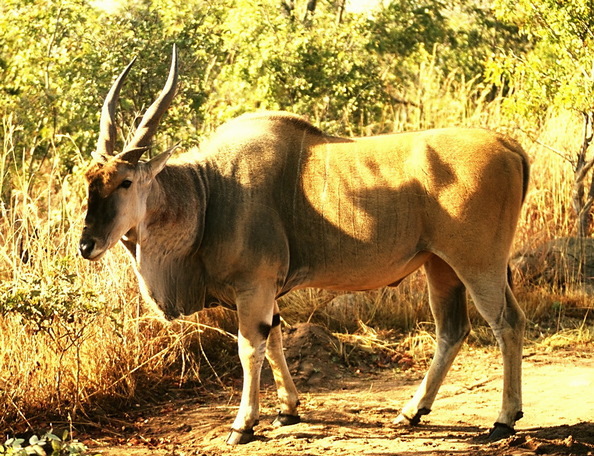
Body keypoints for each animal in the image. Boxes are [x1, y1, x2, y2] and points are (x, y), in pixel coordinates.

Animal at [78, 48, 528, 444]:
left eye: (125, 182)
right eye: (89, 179)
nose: (87, 245)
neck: (210, 191)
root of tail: (509, 147)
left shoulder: (254, 286)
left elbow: (250, 348)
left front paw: (243, 426)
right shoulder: (265, 292)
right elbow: (276, 339)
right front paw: (287, 410)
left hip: (478, 264)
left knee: (507, 322)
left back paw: (504, 420)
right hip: (441, 265)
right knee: (452, 330)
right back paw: (411, 412)